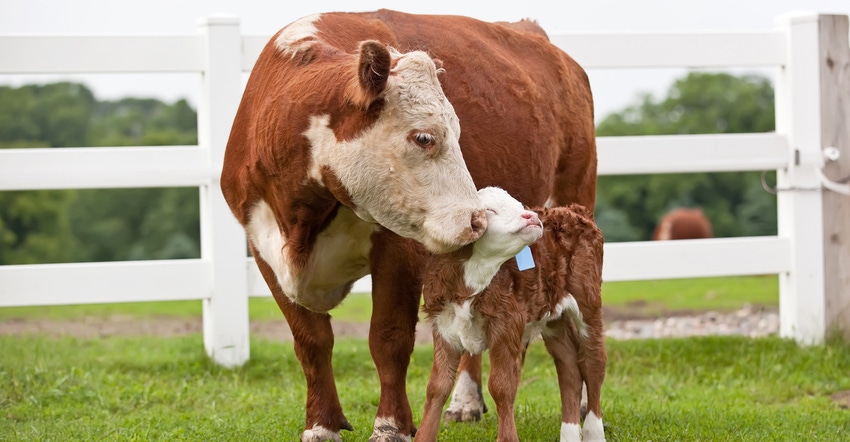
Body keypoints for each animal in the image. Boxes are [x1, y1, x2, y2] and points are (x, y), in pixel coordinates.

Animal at [418, 187, 604, 442]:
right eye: (489, 210)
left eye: (519, 205)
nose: (531, 216)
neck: (472, 281)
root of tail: (572, 210)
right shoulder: (444, 325)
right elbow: (437, 386)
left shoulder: (506, 324)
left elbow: (502, 386)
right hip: (554, 318)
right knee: (570, 368)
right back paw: (569, 435)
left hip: (588, 303)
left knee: (593, 364)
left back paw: (594, 432)